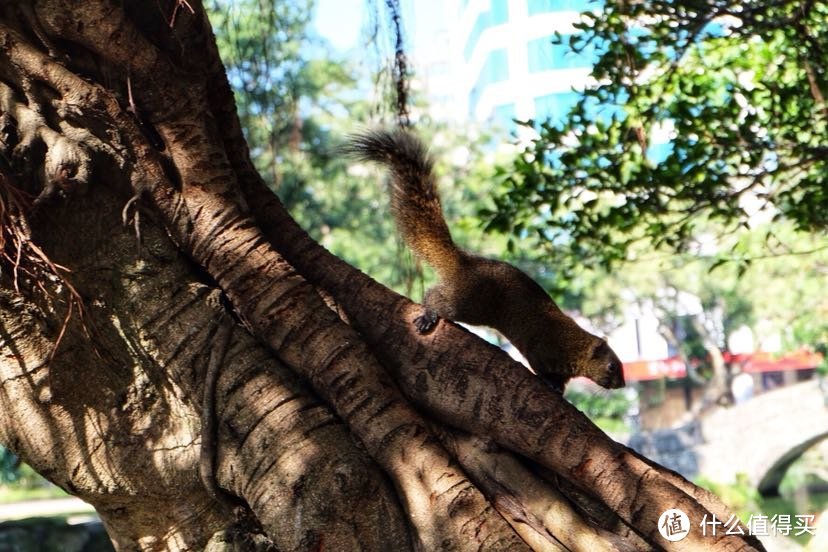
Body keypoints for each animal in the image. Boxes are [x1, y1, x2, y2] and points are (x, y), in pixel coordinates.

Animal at [342, 127, 620, 390]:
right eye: (612, 366)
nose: (621, 384)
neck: (574, 345)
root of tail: (463, 263)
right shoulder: (541, 349)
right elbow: (541, 368)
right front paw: (551, 384)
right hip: (466, 301)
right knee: (435, 297)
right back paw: (429, 314)